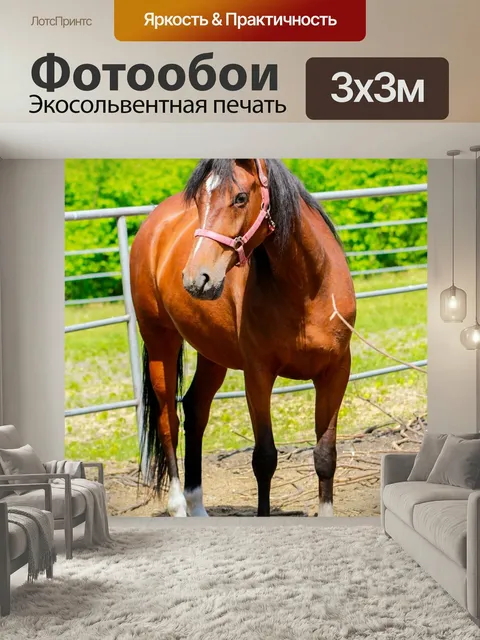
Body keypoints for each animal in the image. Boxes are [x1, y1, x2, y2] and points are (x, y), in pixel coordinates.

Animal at [130, 159, 356, 517]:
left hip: (211, 353)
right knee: (169, 421)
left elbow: (325, 455)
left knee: (195, 410)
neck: (307, 287)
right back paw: (178, 507)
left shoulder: (335, 372)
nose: (195, 278)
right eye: (199, 201)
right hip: (160, 343)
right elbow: (264, 458)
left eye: (239, 198)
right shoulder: (258, 375)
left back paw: (198, 508)